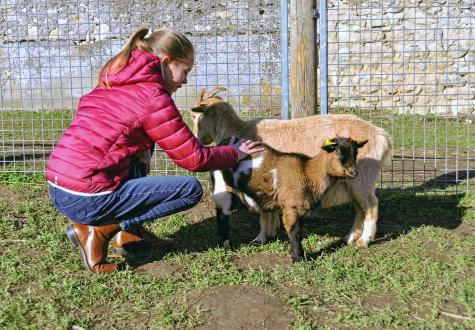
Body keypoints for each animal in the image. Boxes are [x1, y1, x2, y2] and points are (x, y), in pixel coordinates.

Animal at [211, 135, 368, 262]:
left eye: (356, 153)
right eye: (338, 153)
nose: (354, 173)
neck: (307, 173)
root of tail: (221, 142)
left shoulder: (301, 207)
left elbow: (299, 229)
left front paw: (295, 254)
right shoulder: (290, 205)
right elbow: (294, 231)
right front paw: (298, 257)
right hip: (222, 188)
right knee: (222, 216)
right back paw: (227, 246)